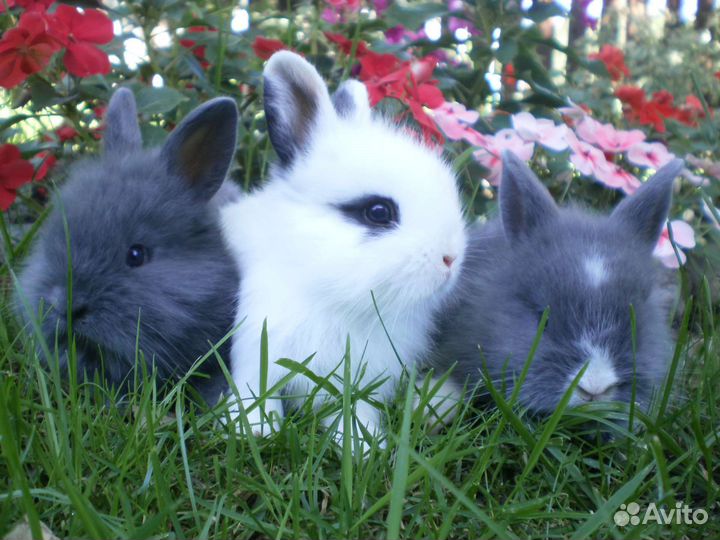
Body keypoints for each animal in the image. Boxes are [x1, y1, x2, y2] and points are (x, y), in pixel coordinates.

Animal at [220, 51, 468, 445]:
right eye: (378, 212)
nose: (450, 259)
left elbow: (353, 410)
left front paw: (364, 444)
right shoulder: (256, 344)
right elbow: (254, 388)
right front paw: (253, 428)